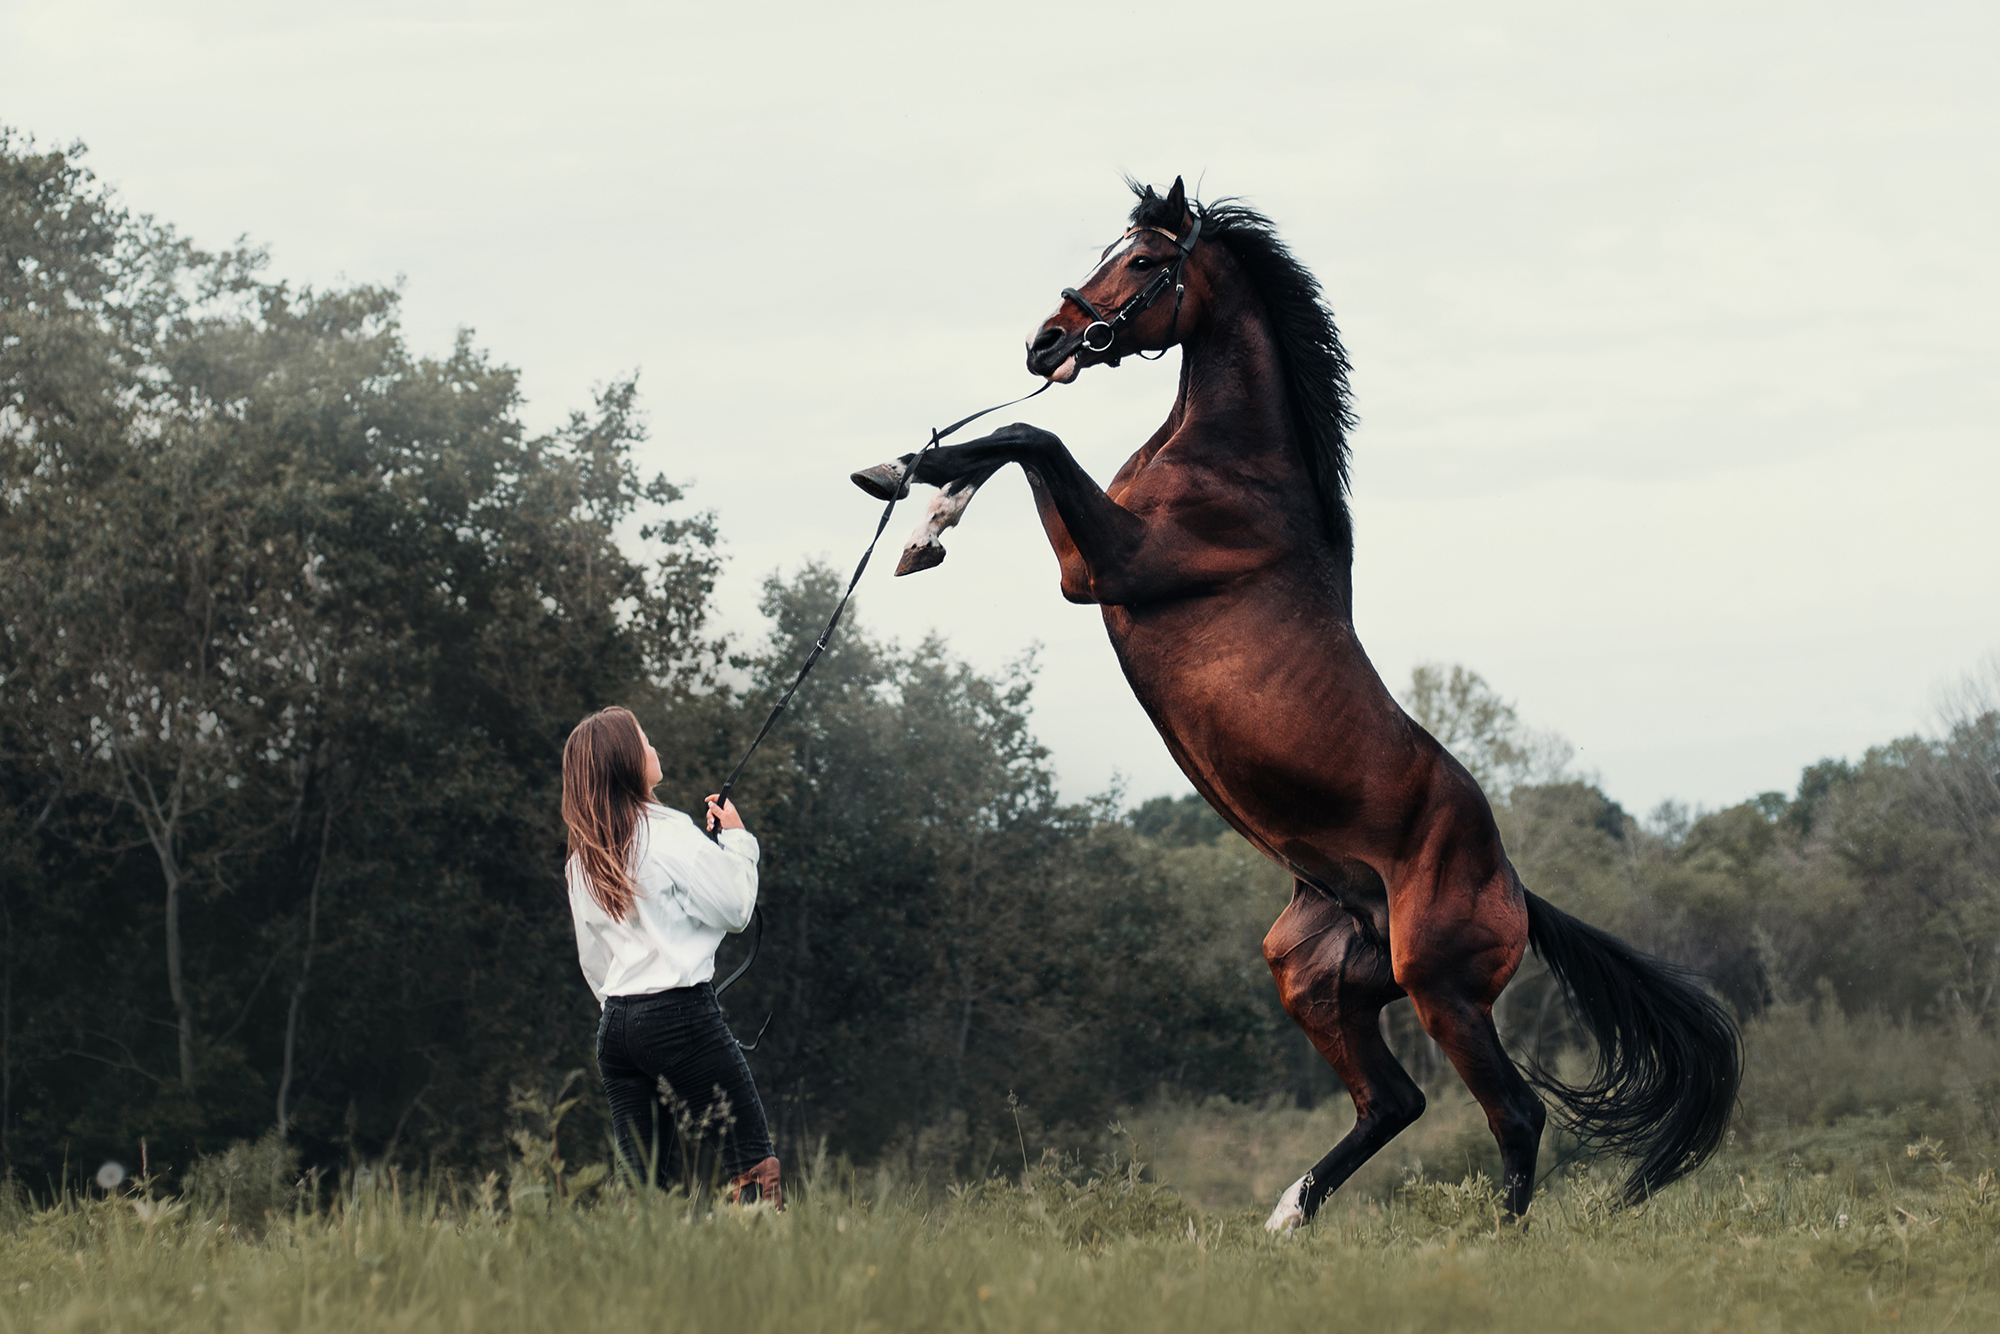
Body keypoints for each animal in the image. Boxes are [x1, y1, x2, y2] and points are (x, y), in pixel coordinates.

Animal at [852, 177, 1744, 1232]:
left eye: (1145, 262)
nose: (1044, 344)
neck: (1233, 466)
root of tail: (1518, 889)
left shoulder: (1106, 567)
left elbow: (1034, 437)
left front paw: (904, 480)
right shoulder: (1089, 559)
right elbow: (1013, 447)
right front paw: (918, 513)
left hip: (1441, 988)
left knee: (1514, 1115)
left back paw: (1484, 1241)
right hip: (1317, 978)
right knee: (1394, 1102)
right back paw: (1287, 1218)